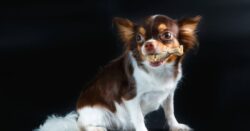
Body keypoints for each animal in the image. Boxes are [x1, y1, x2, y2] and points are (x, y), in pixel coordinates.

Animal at [36, 14, 201, 131]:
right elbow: (139, 118)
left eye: (167, 35)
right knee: (83, 127)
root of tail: (78, 115)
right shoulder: (130, 97)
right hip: (99, 113)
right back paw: (96, 129)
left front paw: (176, 126)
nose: (148, 44)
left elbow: (170, 112)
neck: (158, 71)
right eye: (138, 38)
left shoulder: (168, 94)